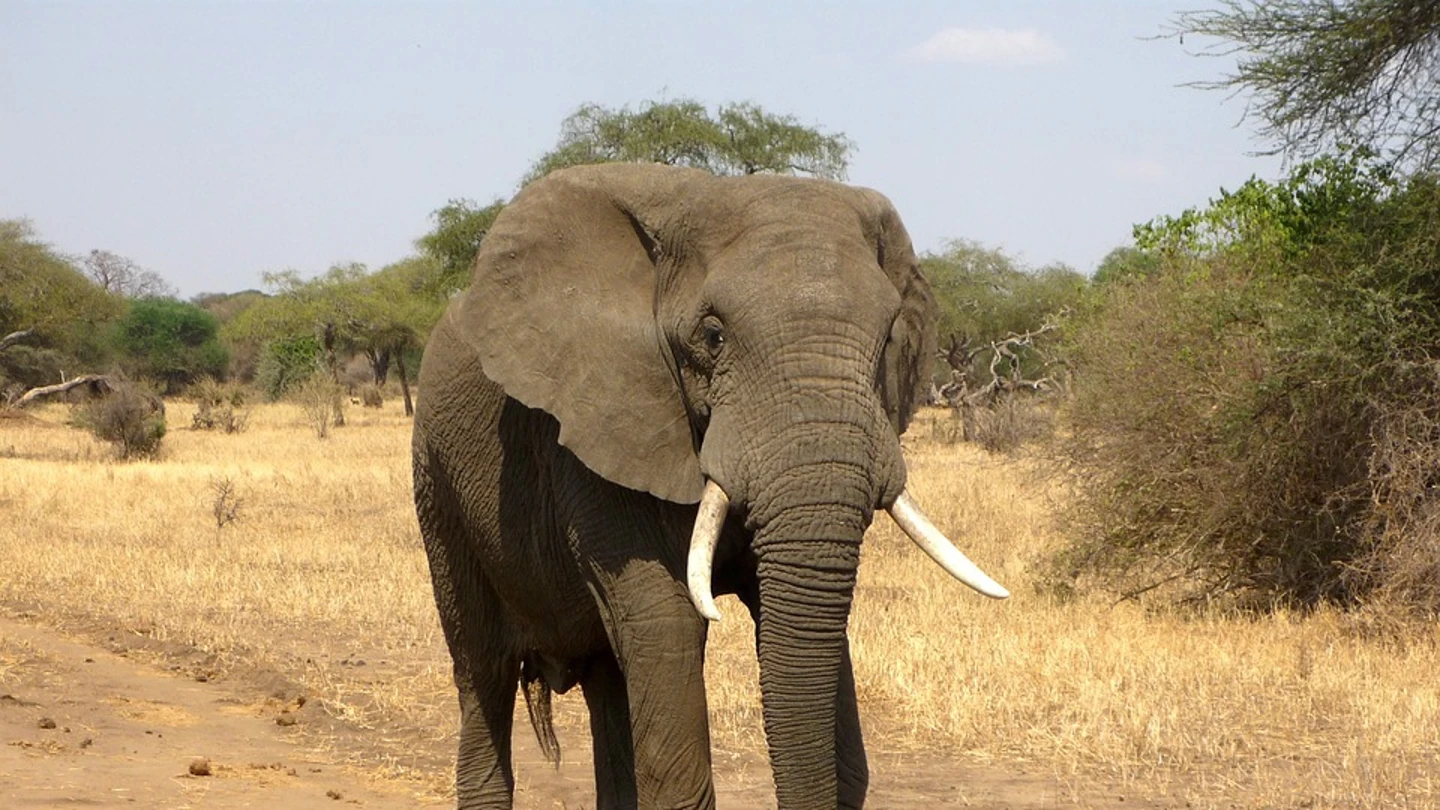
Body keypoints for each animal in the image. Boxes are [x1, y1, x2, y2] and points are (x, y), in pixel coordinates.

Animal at [411, 162, 1008, 810]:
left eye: (887, 340)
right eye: (713, 335)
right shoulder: (601, 430)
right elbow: (667, 623)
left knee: (606, 681)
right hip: (437, 487)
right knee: (483, 673)